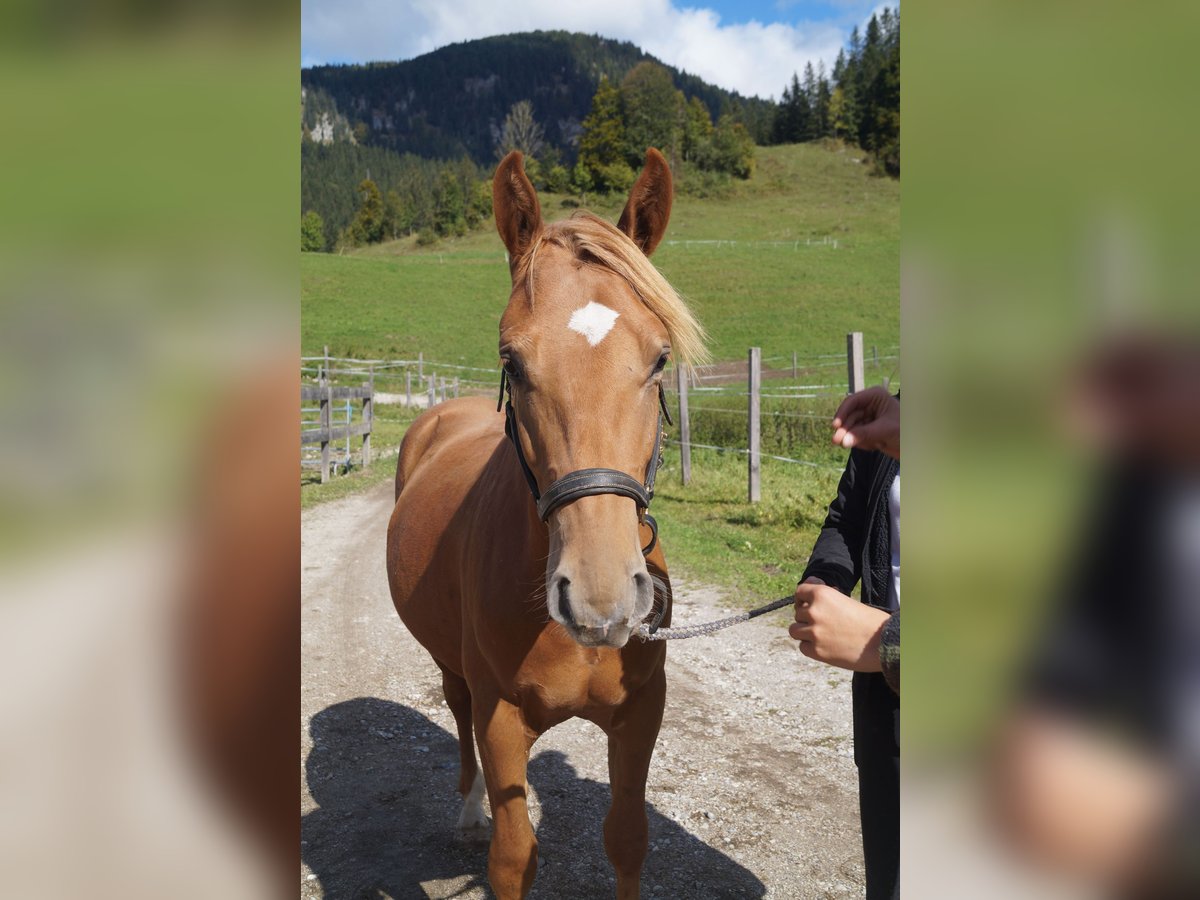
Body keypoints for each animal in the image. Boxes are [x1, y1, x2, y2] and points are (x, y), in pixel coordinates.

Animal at [384, 148, 705, 900]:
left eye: (660, 359)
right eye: (512, 358)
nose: (600, 599)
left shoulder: (641, 716)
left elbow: (627, 839)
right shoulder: (503, 720)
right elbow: (512, 855)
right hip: (453, 667)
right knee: (458, 715)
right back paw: (468, 809)